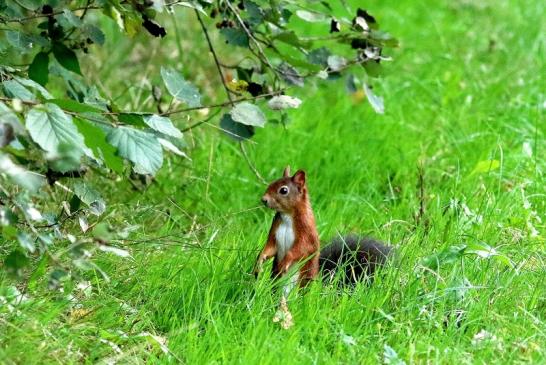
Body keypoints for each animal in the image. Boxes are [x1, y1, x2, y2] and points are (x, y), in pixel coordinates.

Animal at [255, 166, 392, 288]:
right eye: (271, 184)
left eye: (283, 190)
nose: (264, 199)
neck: (287, 216)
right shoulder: (275, 229)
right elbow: (270, 247)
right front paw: (260, 261)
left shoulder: (306, 229)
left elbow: (302, 248)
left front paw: (285, 262)